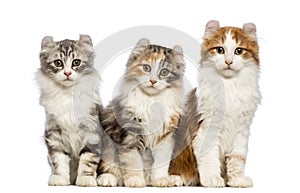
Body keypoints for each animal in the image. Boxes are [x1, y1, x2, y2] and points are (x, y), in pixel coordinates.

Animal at [35, 35, 102, 187]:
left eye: (76, 62)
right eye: (58, 63)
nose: (67, 73)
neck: (67, 93)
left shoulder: (91, 131)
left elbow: (87, 160)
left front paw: (85, 180)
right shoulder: (54, 133)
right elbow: (58, 160)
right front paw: (59, 179)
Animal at [97, 38, 185, 188]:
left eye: (164, 72)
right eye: (146, 68)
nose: (153, 81)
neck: (151, 100)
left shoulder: (166, 137)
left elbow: (162, 161)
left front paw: (161, 180)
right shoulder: (129, 134)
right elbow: (133, 160)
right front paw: (135, 180)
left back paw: (173, 179)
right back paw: (107, 178)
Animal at [170, 20, 262, 187]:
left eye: (239, 51)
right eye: (220, 50)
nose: (228, 62)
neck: (229, 86)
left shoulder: (241, 131)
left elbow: (237, 158)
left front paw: (237, 180)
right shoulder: (207, 128)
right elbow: (209, 157)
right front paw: (212, 178)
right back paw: (175, 178)